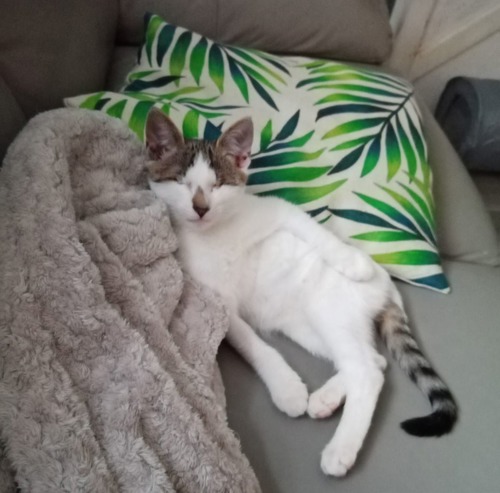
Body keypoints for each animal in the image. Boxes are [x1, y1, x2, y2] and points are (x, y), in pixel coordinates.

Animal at [144, 108, 458, 476]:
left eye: (218, 184)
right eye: (180, 182)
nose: (201, 207)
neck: (215, 235)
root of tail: (389, 290)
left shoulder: (279, 210)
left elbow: (316, 232)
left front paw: (353, 262)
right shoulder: (217, 302)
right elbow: (253, 344)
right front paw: (287, 388)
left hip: (331, 309)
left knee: (367, 369)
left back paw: (340, 448)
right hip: (307, 325)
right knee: (373, 362)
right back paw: (328, 402)